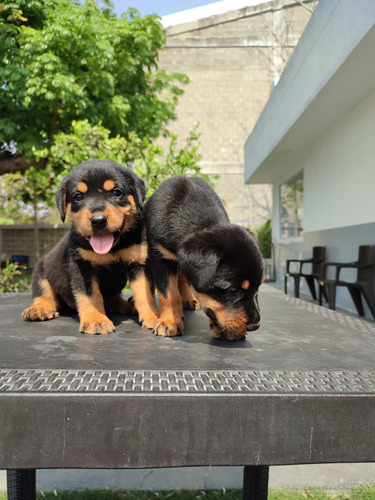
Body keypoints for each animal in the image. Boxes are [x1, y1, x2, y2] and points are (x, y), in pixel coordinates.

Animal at [20, 159, 159, 332]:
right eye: (78, 196)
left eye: (116, 192)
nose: (98, 221)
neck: (113, 247)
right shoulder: (82, 266)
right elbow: (90, 296)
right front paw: (96, 319)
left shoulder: (139, 264)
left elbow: (145, 294)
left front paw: (154, 317)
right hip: (41, 270)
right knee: (43, 293)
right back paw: (39, 308)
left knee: (113, 297)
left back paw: (125, 305)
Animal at [144, 175, 264, 340]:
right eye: (233, 290)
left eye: (258, 287)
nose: (255, 326)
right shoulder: (159, 256)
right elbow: (168, 293)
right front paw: (169, 322)